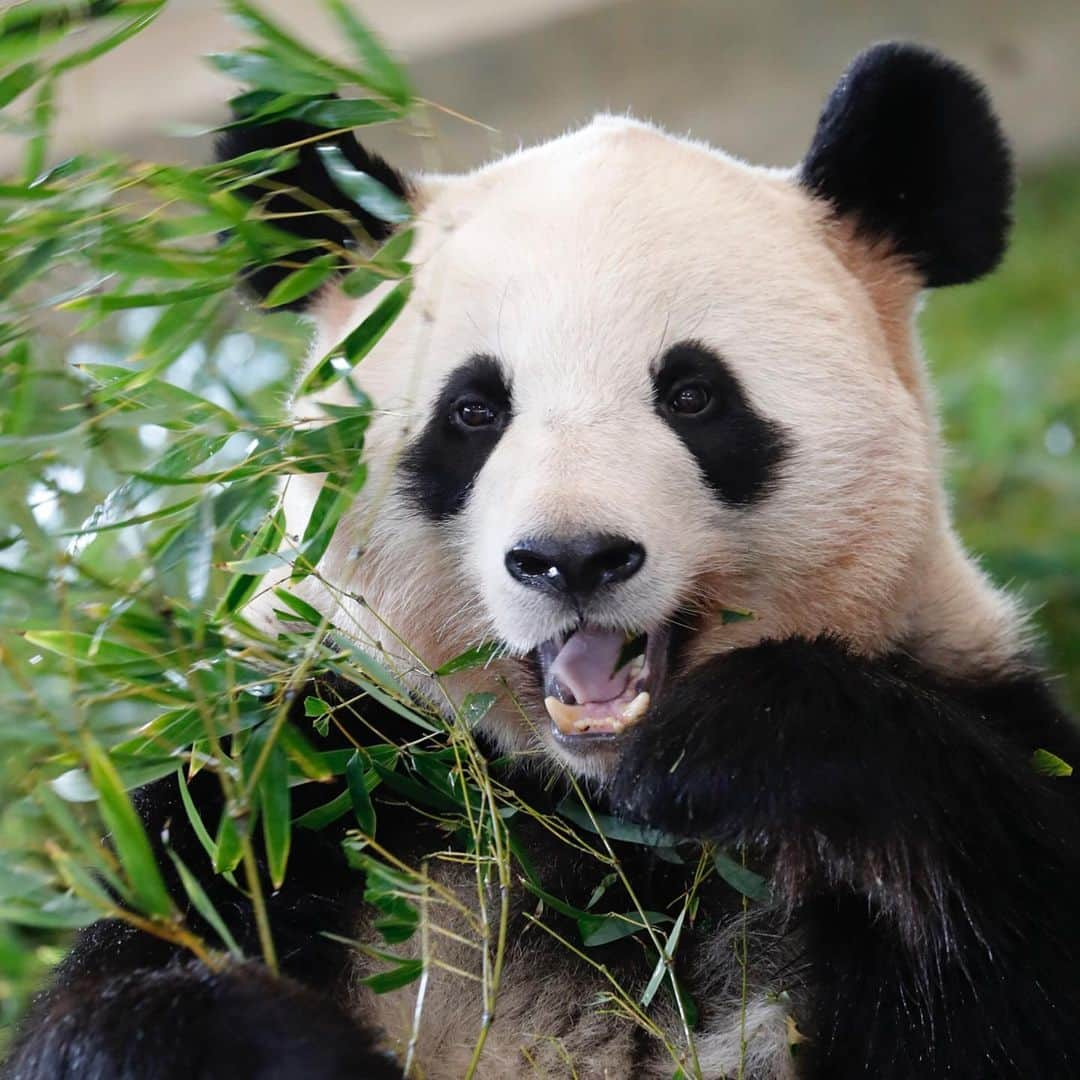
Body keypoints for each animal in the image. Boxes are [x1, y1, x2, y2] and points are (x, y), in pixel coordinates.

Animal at [8, 38, 1080, 1075]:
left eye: (694, 396)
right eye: (474, 411)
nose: (573, 559)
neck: (591, 812)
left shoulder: (960, 691)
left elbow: (1010, 941)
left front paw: (736, 739)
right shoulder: (294, 771)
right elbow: (123, 979)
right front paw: (271, 1042)